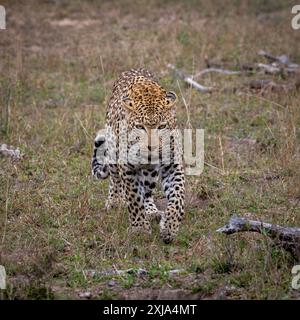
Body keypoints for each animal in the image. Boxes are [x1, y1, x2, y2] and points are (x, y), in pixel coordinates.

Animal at [91, 67, 185, 242]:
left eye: (162, 126)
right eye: (140, 127)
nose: (151, 147)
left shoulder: (172, 165)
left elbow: (177, 196)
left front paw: (170, 227)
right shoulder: (127, 168)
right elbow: (134, 198)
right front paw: (140, 229)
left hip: (150, 171)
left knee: (146, 191)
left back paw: (151, 211)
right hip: (113, 149)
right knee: (115, 178)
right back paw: (115, 201)